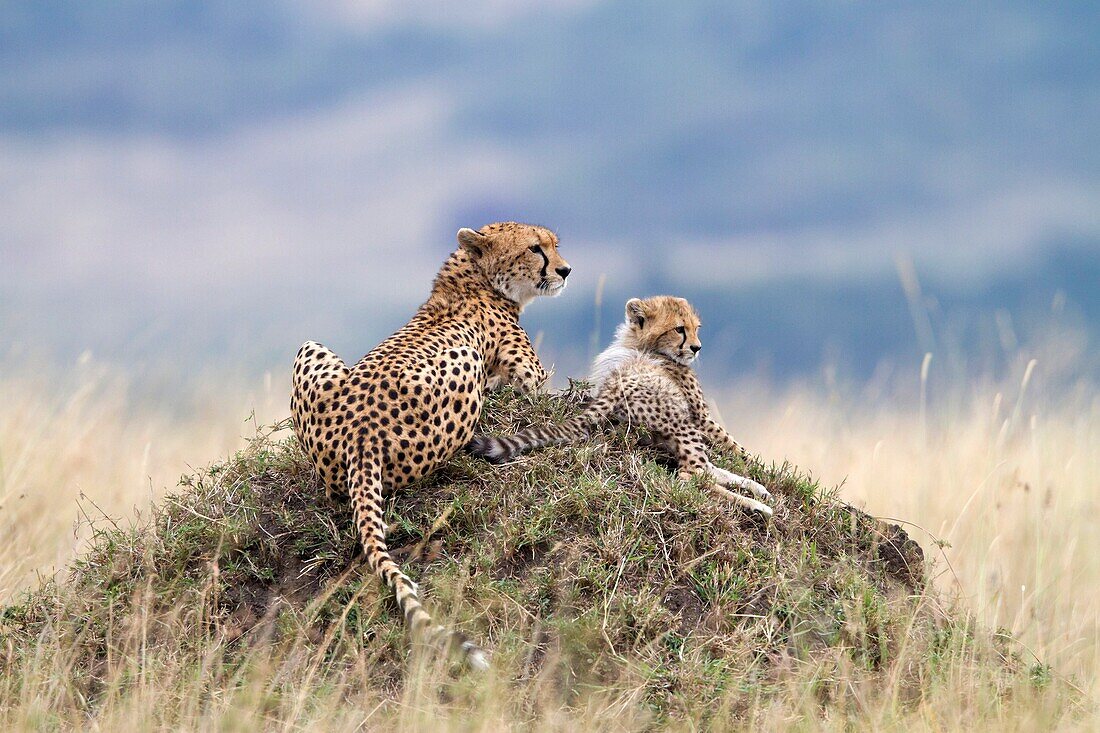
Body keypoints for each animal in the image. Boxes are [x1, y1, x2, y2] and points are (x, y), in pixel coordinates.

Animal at [292, 222, 572, 669]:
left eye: (554, 245)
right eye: (535, 248)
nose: (565, 270)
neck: (472, 280)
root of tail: (360, 434)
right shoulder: (531, 379)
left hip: (309, 347)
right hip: (462, 361)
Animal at [470, 294, 774, 512]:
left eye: (695, 329)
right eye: (679, 329)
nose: (697, 347)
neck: (644, 346)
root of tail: (611, 389)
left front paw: (756, 476)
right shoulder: (699, 415)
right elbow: (734, 445)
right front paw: (757, 467)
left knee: (705, 469)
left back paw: (755, 489)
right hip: (678, 419)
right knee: (691, 475)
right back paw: (756, 505)